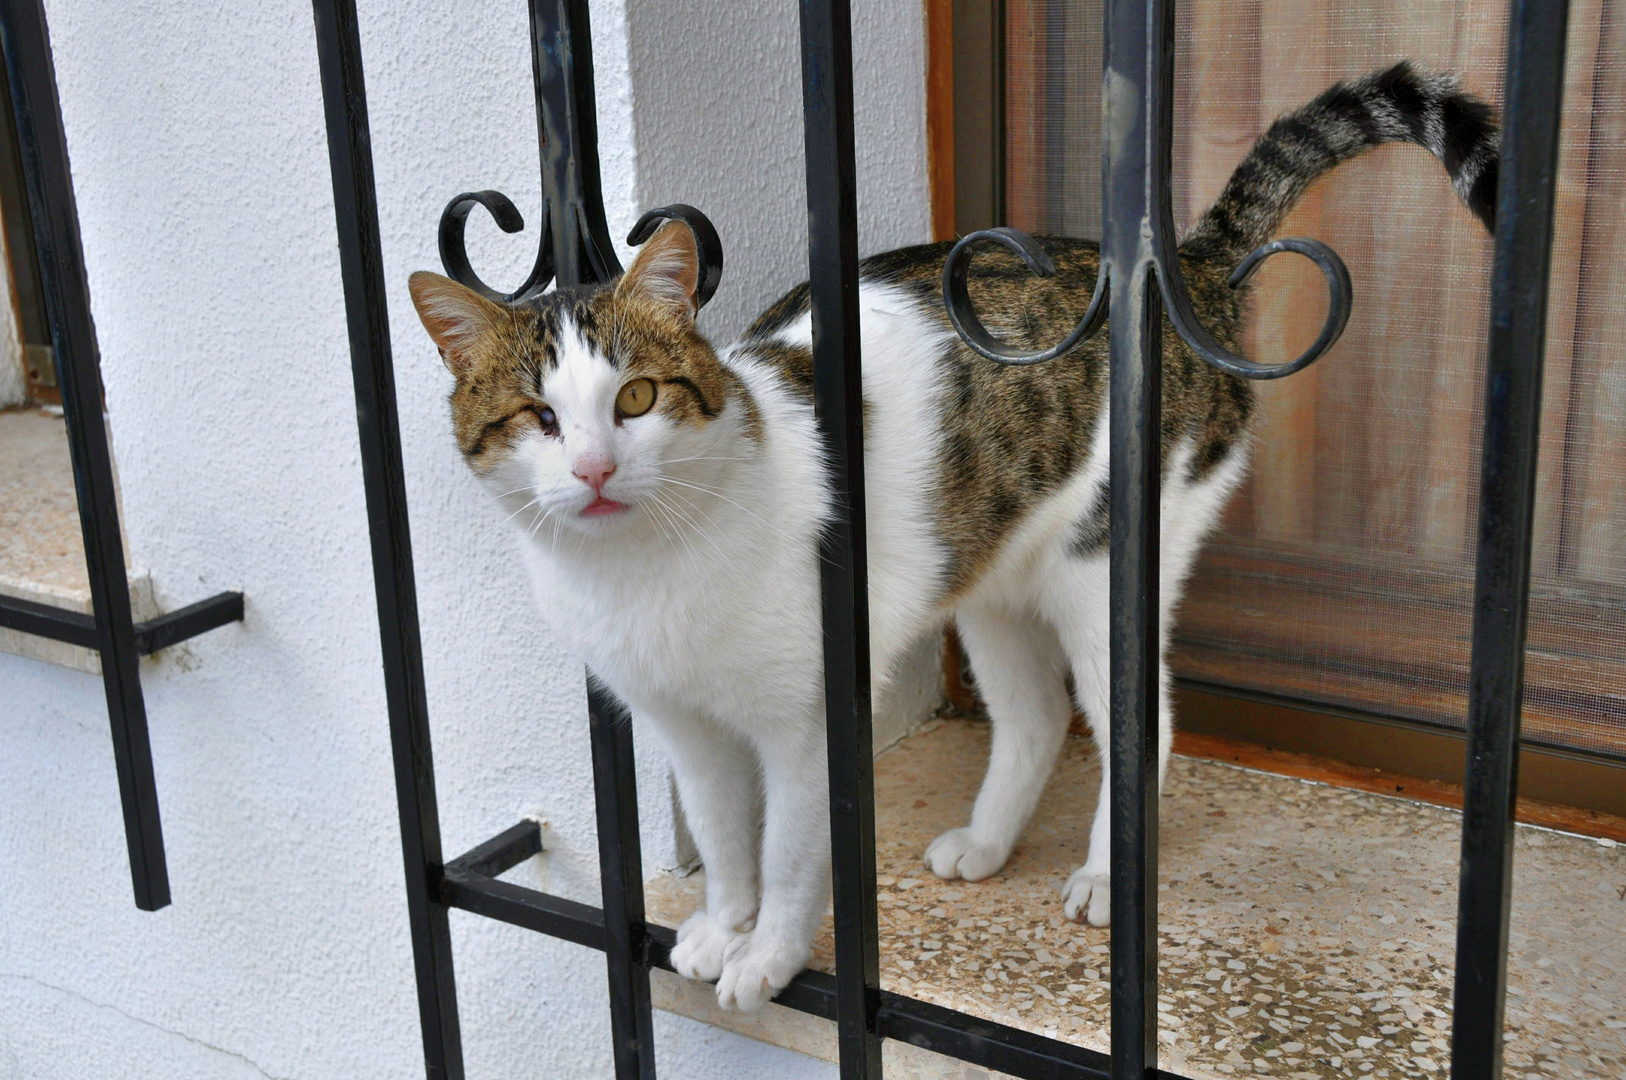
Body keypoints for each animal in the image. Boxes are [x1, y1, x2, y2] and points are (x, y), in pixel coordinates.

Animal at [409, 65, 1495, 1014]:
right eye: (537, 419)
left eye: (635, 398)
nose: (595, 470)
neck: (644, 570)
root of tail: (1182, 267)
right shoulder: (683, 723)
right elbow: (722, 839)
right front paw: (724, 925)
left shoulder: (808, 720)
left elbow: (790, 850)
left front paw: (770, 955)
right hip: (987, 579)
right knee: (1034, 717)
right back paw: (986, 841)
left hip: (1106, 566)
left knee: (1140, 723)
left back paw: (1106, 876)